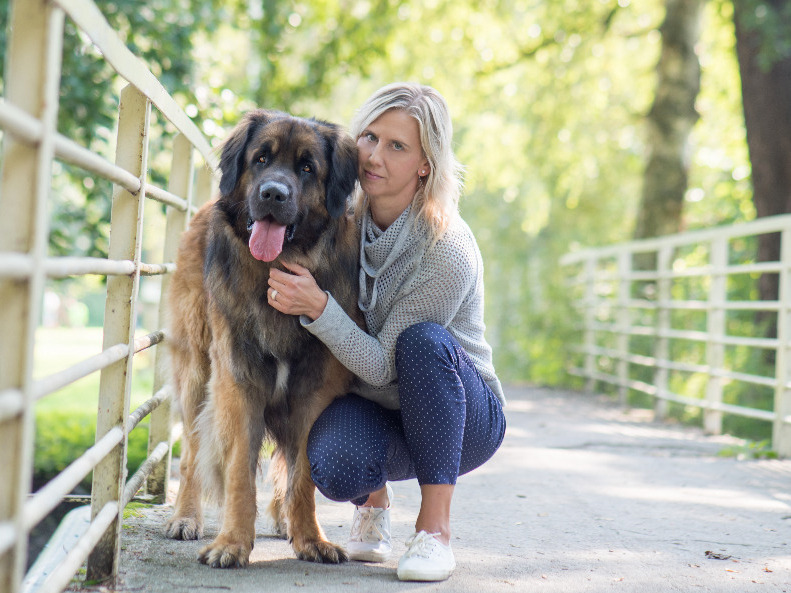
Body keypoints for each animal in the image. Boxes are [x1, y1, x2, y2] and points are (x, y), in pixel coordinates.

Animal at [166, 108, 360, 568]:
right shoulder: (239, 380)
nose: (273, 193)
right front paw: (232, 543)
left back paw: (286, 519)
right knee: (192, 451)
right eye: (261, 159)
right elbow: (238, 469)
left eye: (307, 168)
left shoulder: (313, 391)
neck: (280, 267)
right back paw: (185, 517)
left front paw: (310, 539)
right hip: (196, 372)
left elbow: (302, 473)